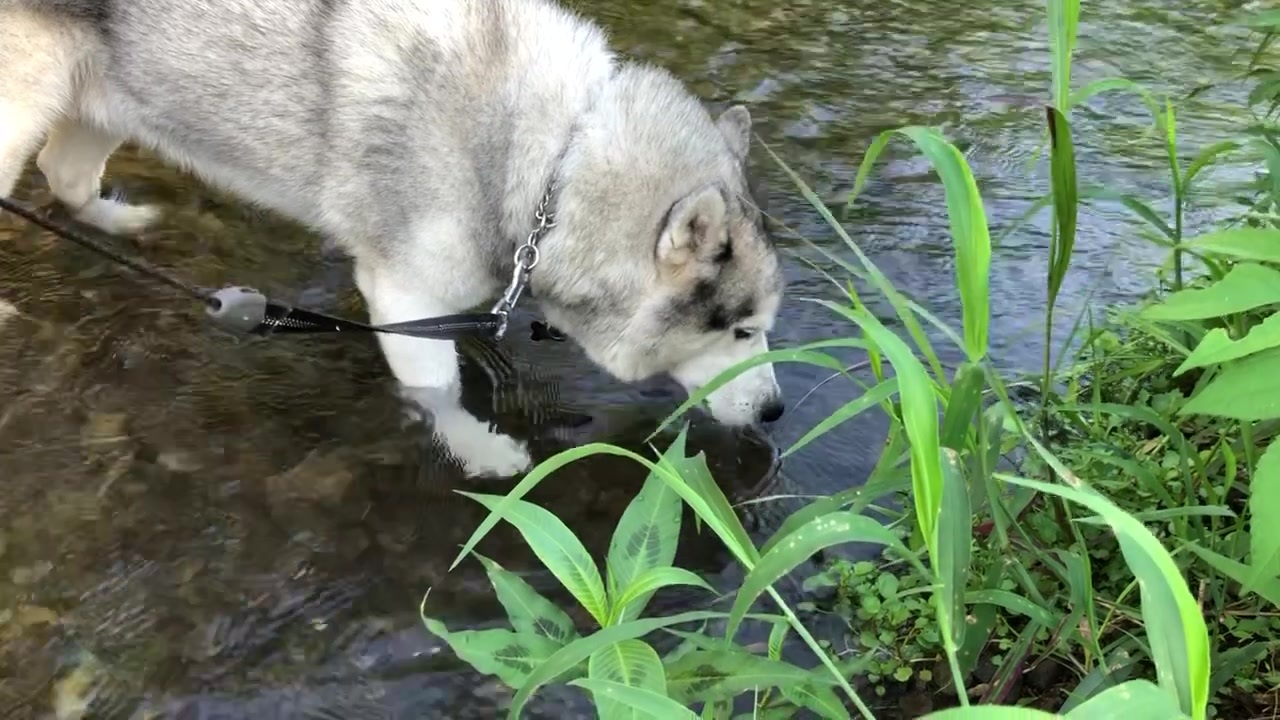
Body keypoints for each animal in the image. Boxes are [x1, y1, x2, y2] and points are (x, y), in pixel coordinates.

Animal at [0, 0, 783, 476]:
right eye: (741, 330)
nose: (778, 409)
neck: (548, 163)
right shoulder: (404, 290)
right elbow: (436, 389)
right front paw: (477, 449)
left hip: (105, 101)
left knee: (65, 175)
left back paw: (118, 222)